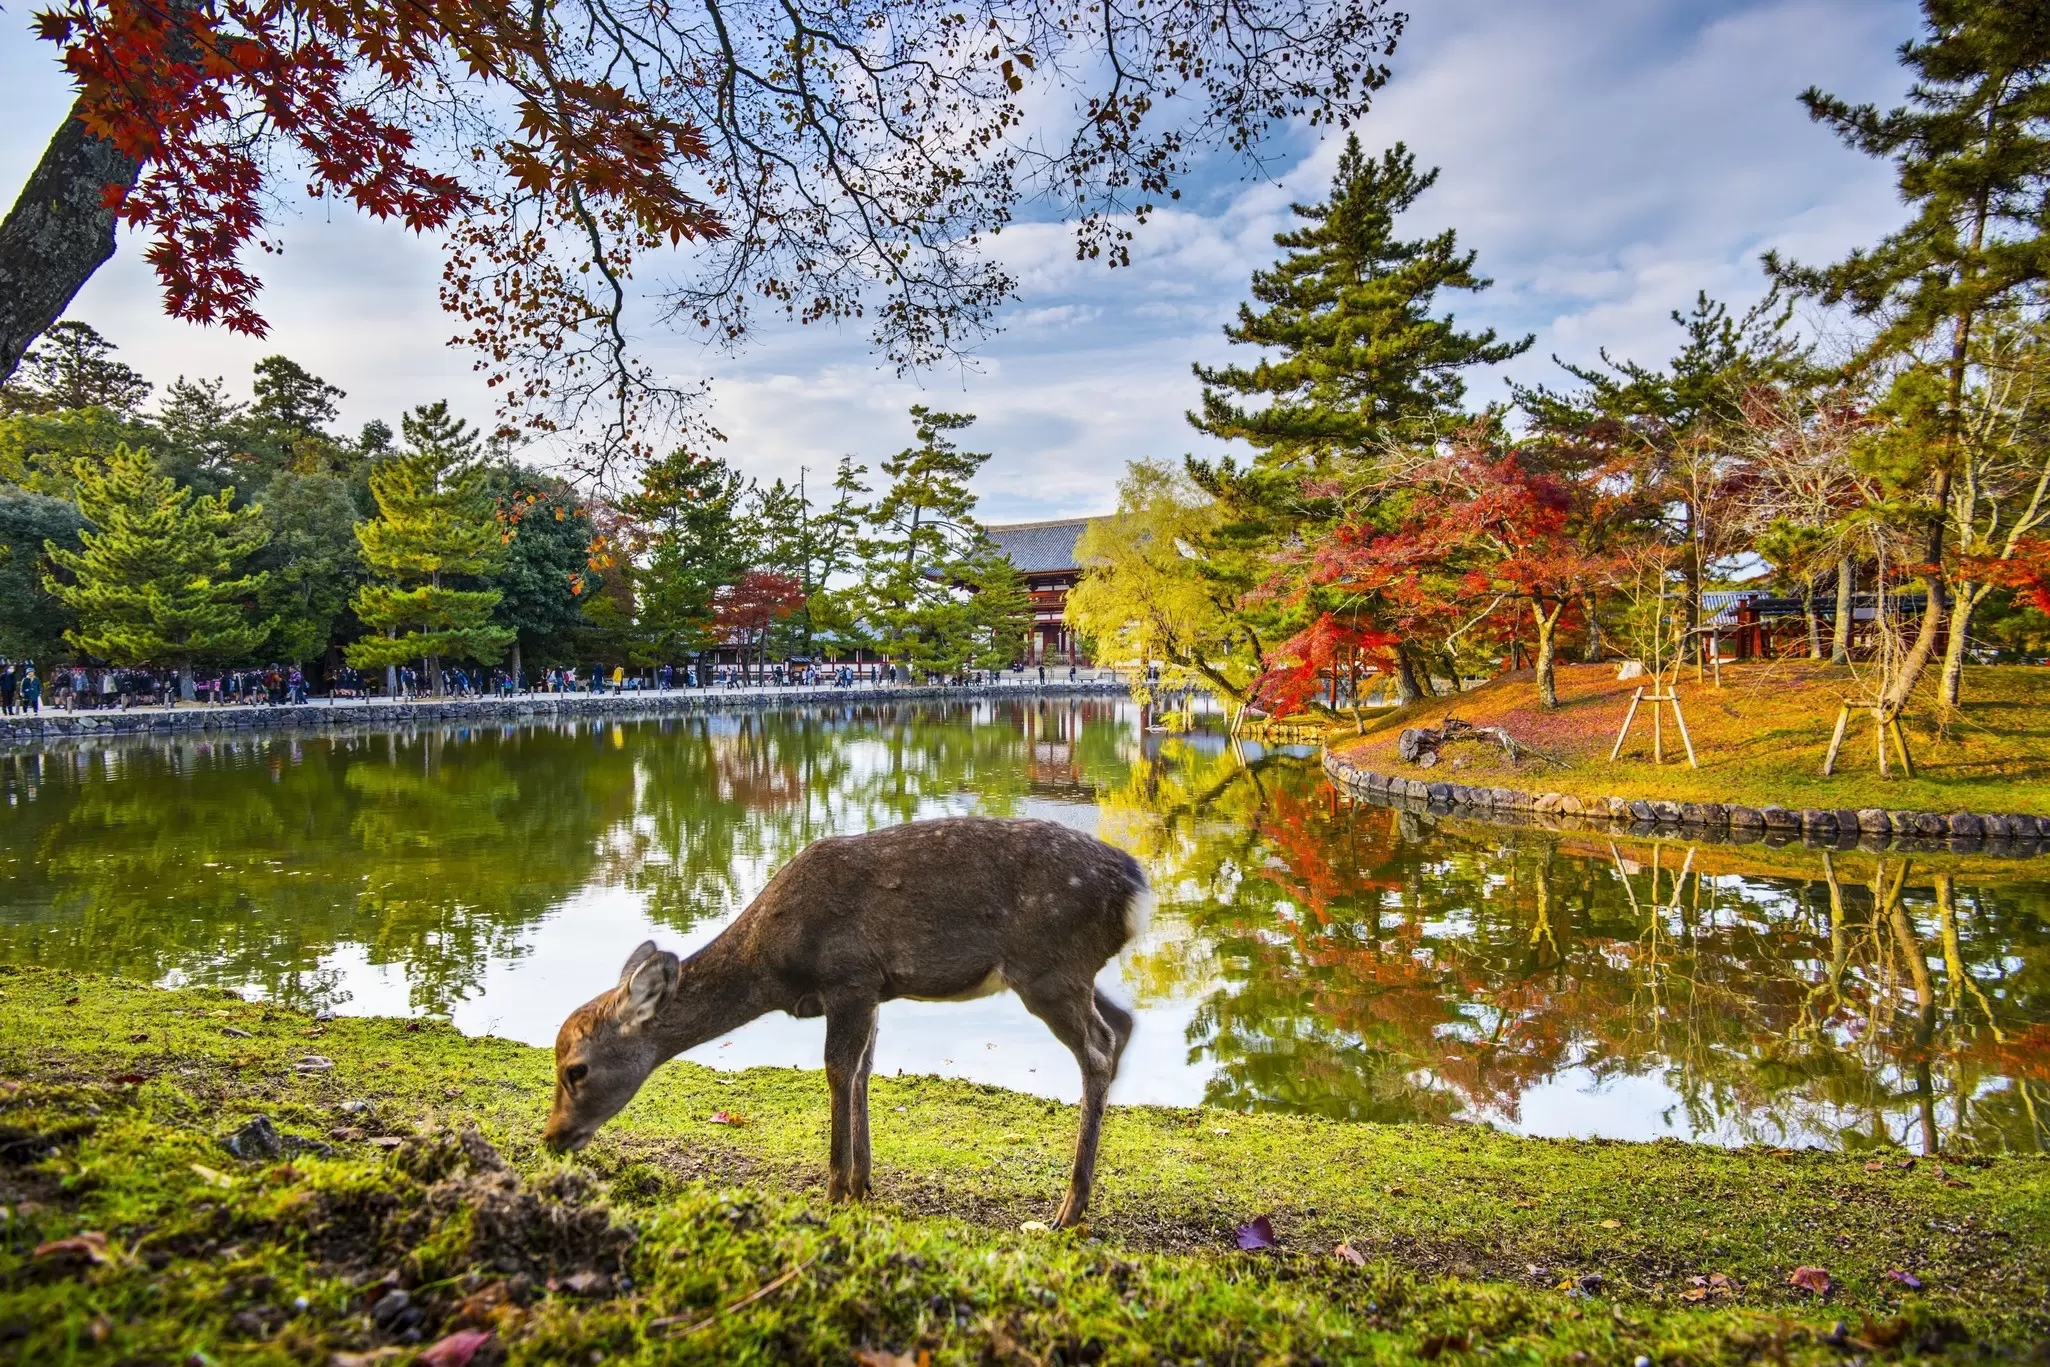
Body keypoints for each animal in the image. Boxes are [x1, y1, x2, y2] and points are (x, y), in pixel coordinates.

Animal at [543, 815, 1153, 1228]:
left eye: (576, 1069)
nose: (552, 1138)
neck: (773, 962)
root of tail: (1136, 888)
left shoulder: (849, 976)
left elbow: (839, 1068)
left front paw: (835, 1189)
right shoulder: (874, 988)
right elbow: (863, 1069)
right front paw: (862, 1184)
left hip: (1048, 965)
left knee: (1098, 1047)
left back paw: (1068, 1210)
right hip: (1069, 971)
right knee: (1122, 1023)